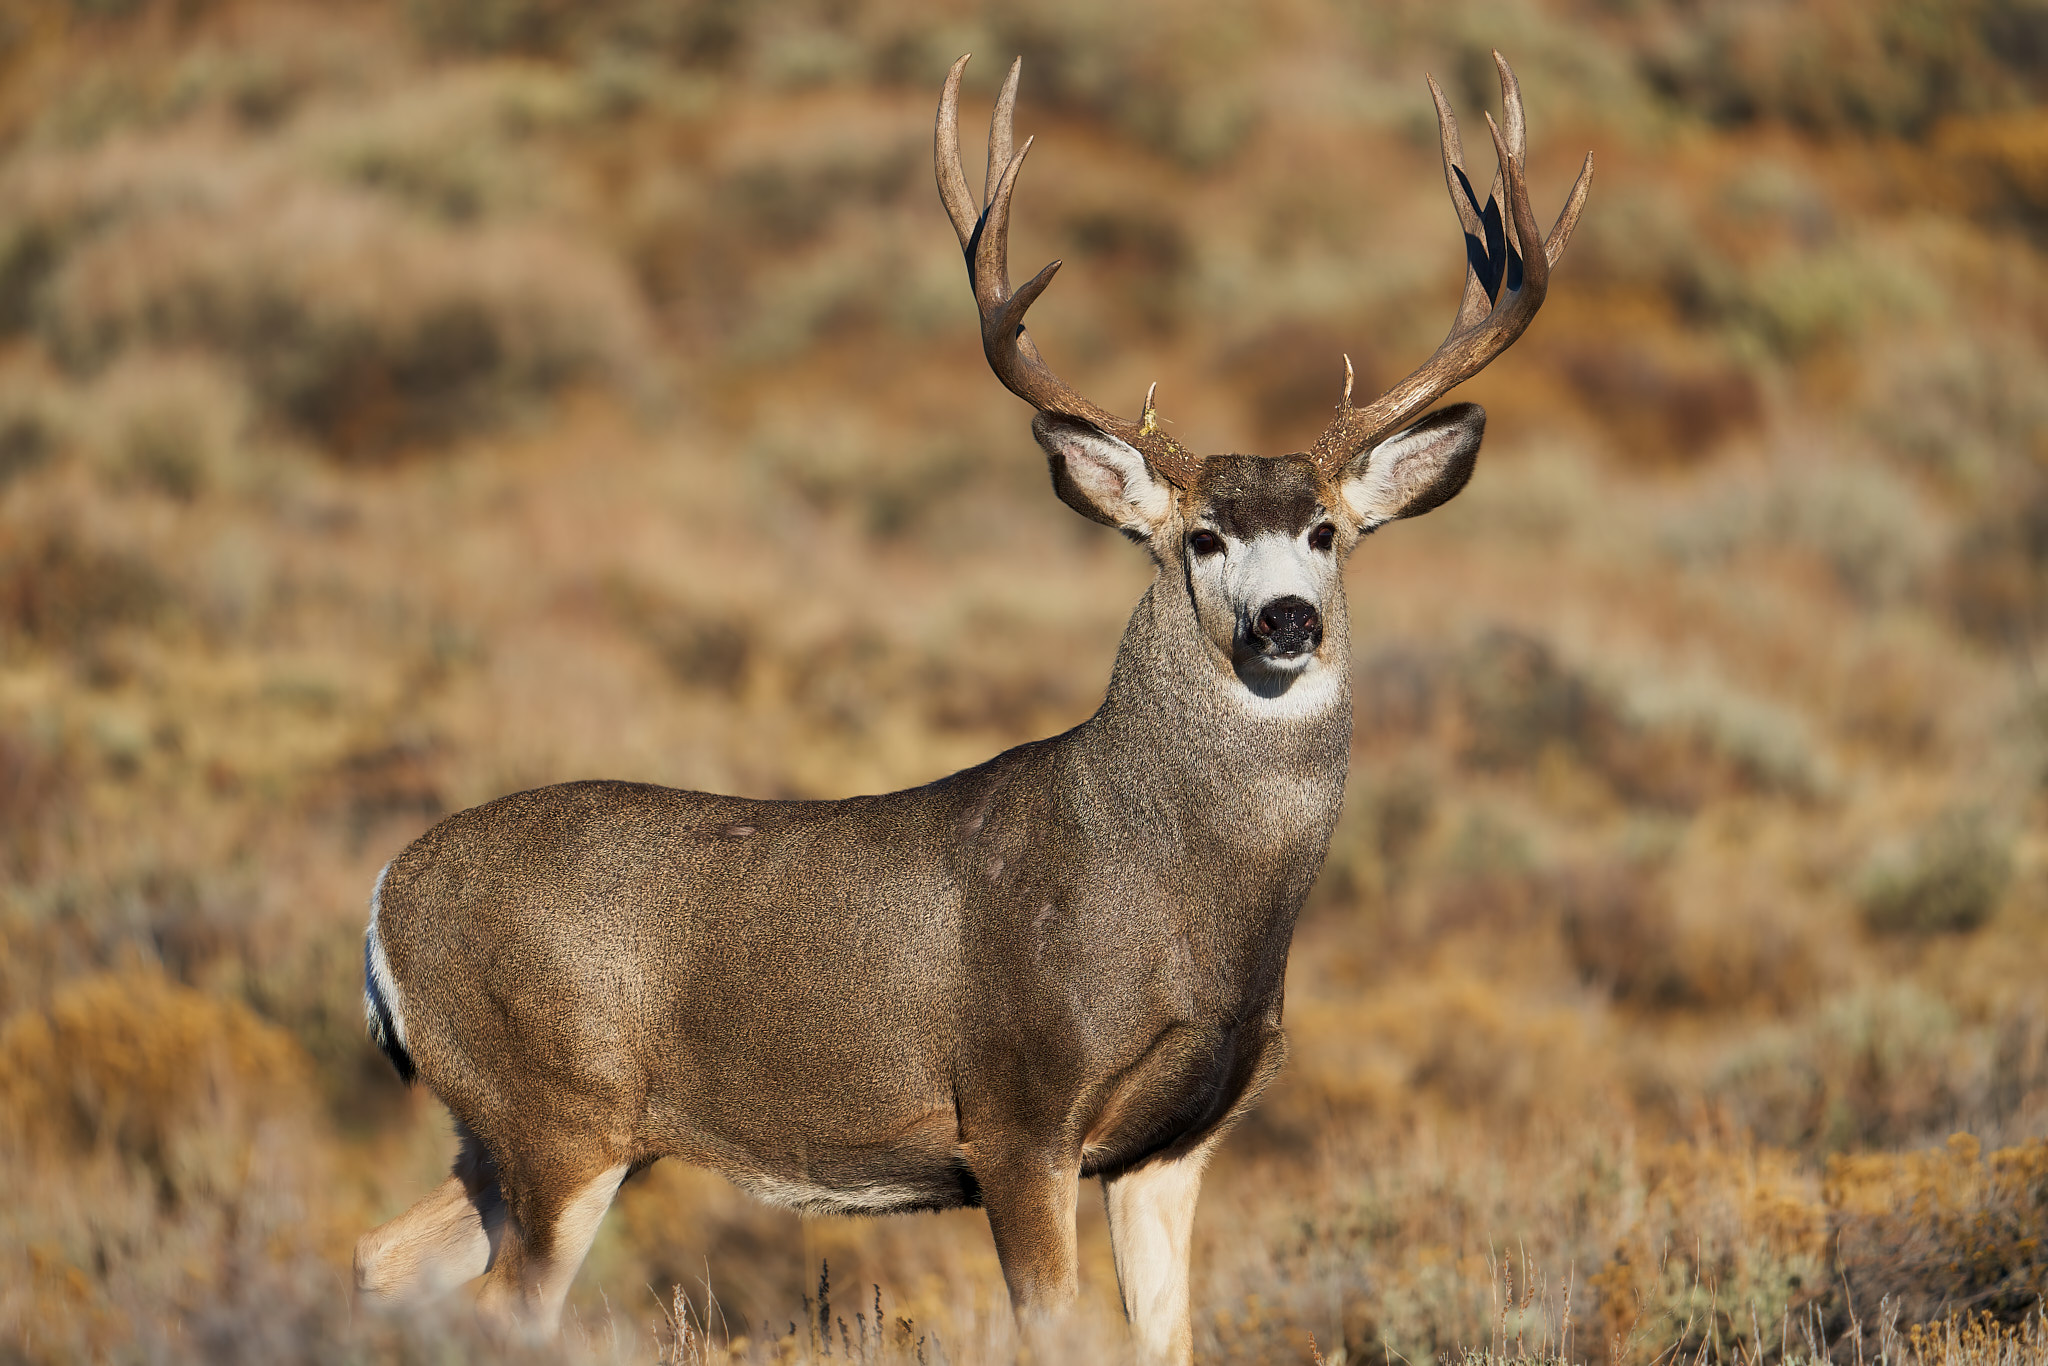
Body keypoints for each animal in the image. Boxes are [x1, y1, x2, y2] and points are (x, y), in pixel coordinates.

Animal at [351, 51, 1589, 1364]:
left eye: (1324, 532)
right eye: (1201, 536)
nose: (1285, 621)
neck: (1180, 900)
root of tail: (381, 897)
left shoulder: (1172, 1145)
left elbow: (1165, 1337)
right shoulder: (1016, 1106)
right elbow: (1053, 1326)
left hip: (524, 1130)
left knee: (383, 1254)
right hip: (559, 1110)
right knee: (505, 1299)